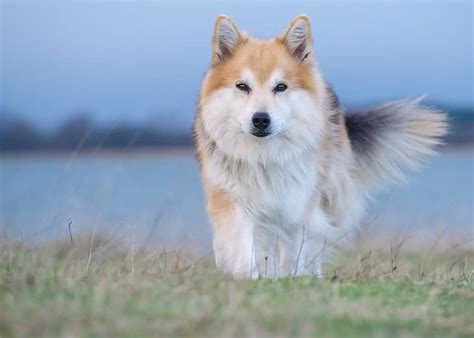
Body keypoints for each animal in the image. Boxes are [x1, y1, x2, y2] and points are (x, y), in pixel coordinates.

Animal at [193, 13, 448, 278]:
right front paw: (251, 278)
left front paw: (291, 279)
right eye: (242, 86)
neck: (266, 156)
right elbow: (243, 248)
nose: (261, 119)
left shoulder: (298, 203)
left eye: (281, 87)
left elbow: (294, 251)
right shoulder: (234, 201)